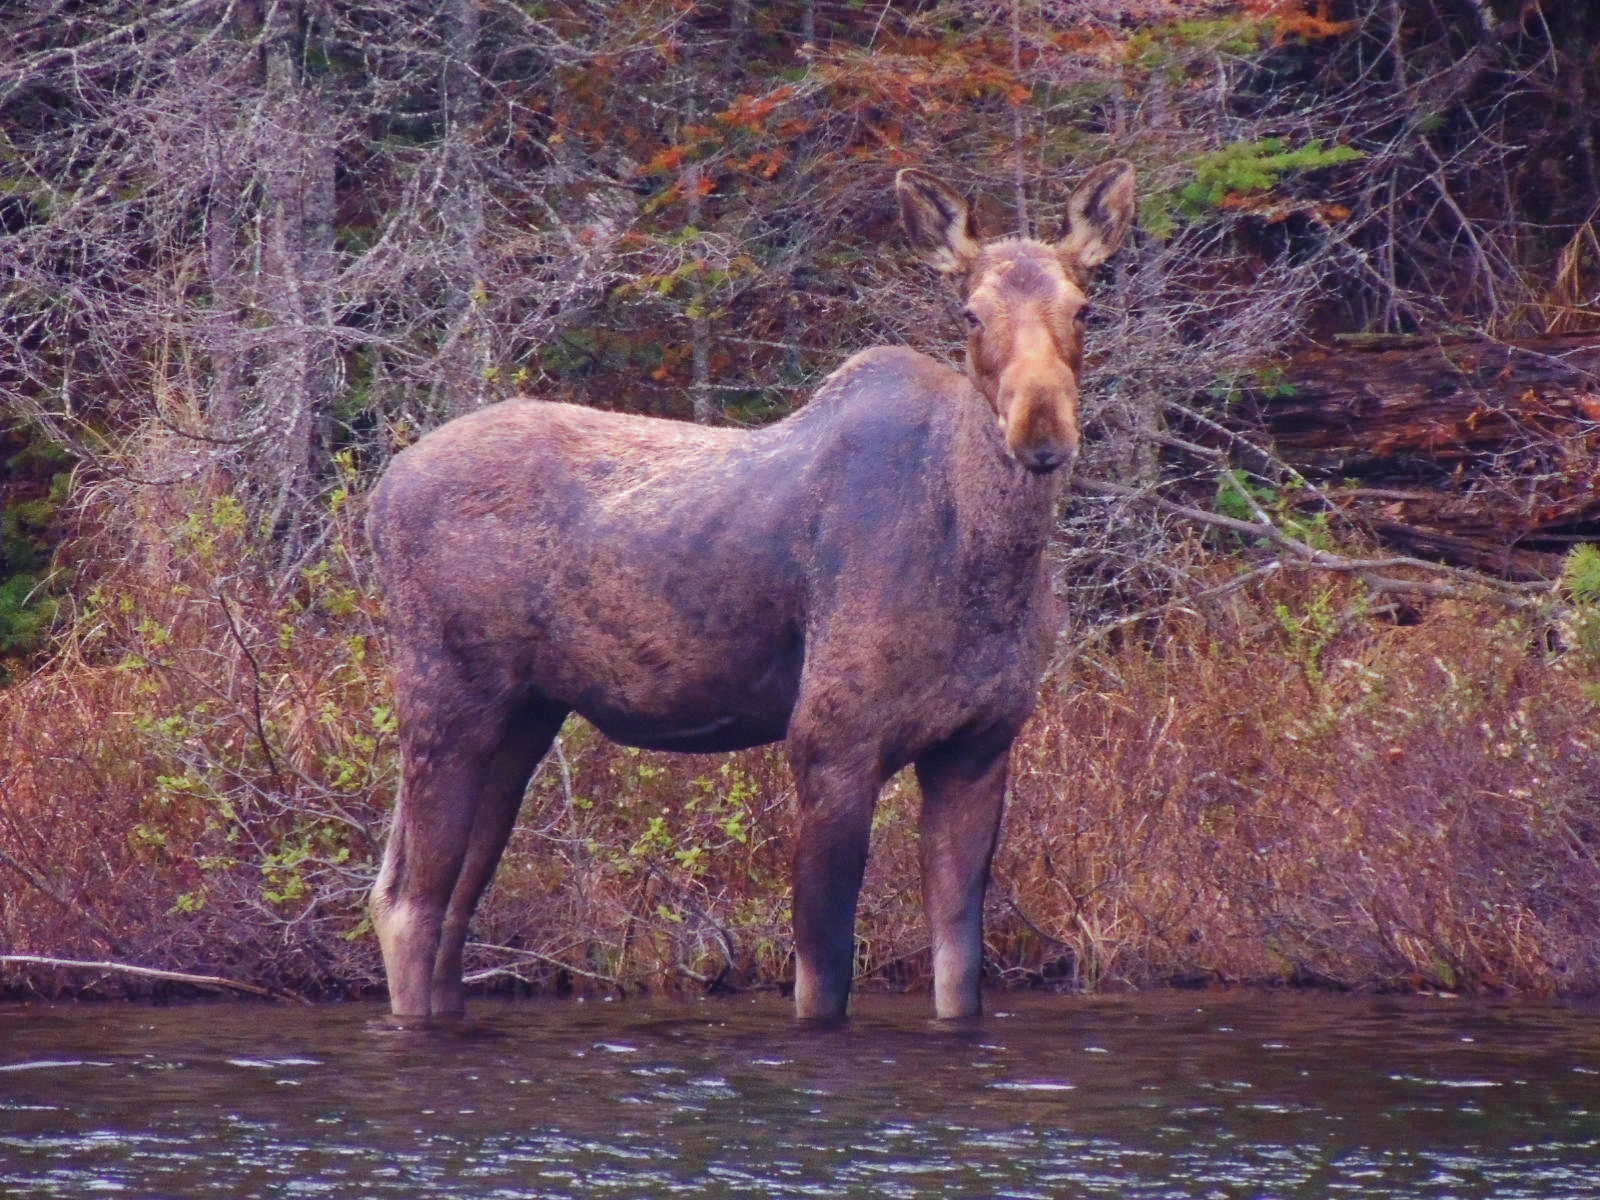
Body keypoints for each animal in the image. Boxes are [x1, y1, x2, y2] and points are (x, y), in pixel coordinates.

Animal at [366, 159, 1136, 1023]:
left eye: (1084, 307)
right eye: (971, 312)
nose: (1041, 432)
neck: (984, 568)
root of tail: (380, 494)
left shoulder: (979, 747)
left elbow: (958, 970)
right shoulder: (831, 741)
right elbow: (822, 970)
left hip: (523, 716)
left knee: (446, 907)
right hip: (446, 697)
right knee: (407, 904)